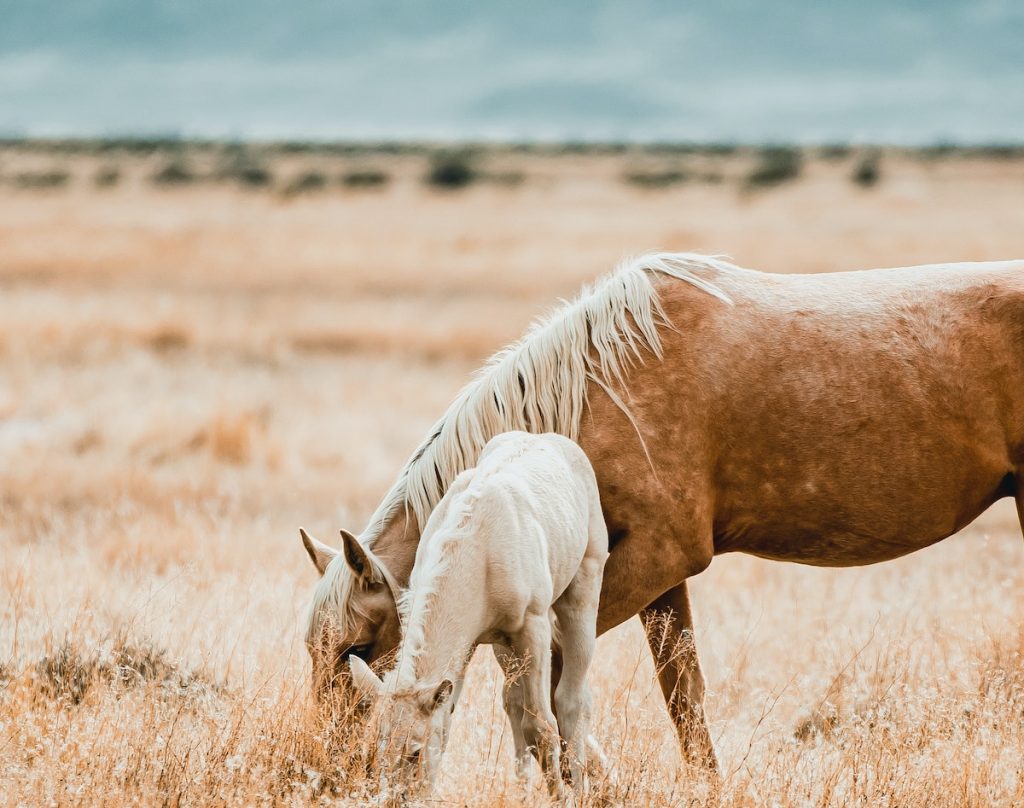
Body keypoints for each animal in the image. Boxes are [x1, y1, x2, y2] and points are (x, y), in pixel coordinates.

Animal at [345, 431, 607, 798]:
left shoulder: (534, 628)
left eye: (414, 752)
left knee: (572, 700)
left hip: (583, 586)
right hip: (504, 646)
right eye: (378, 749)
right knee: (514, 703)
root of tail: (556, 442)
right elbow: (450, 723)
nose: (397, 799)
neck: (479, 549)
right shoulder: (467, 644)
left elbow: (541, 725)